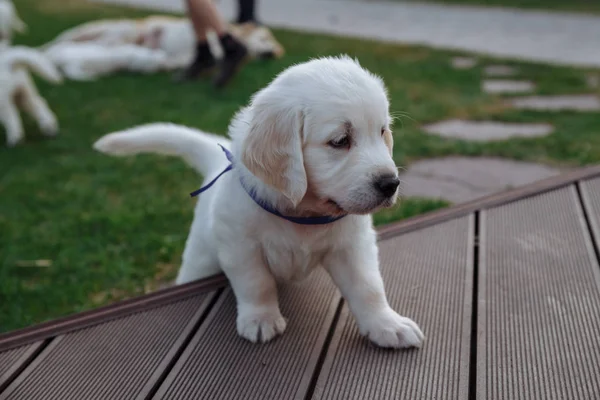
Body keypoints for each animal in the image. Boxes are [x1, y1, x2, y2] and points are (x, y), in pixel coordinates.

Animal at [94, 56, 424, 350]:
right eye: (340, 141)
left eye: (382, 131)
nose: (390, 184)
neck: (304, 212)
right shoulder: (239, 244)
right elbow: (257, 282)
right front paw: (261, 319)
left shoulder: (353, 244)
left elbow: (369, 287)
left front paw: (387, 325)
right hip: (200, 260)